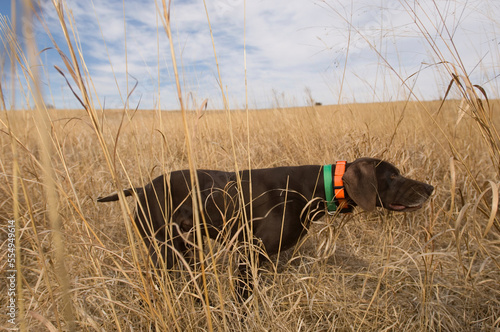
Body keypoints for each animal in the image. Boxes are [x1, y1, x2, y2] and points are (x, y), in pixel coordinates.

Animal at [98, 158, 434, 298]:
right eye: (393, 176)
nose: (430, 188)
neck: (311, 188)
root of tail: (142, 188)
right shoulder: (247, 255)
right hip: (164, 250)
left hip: (187, 248)